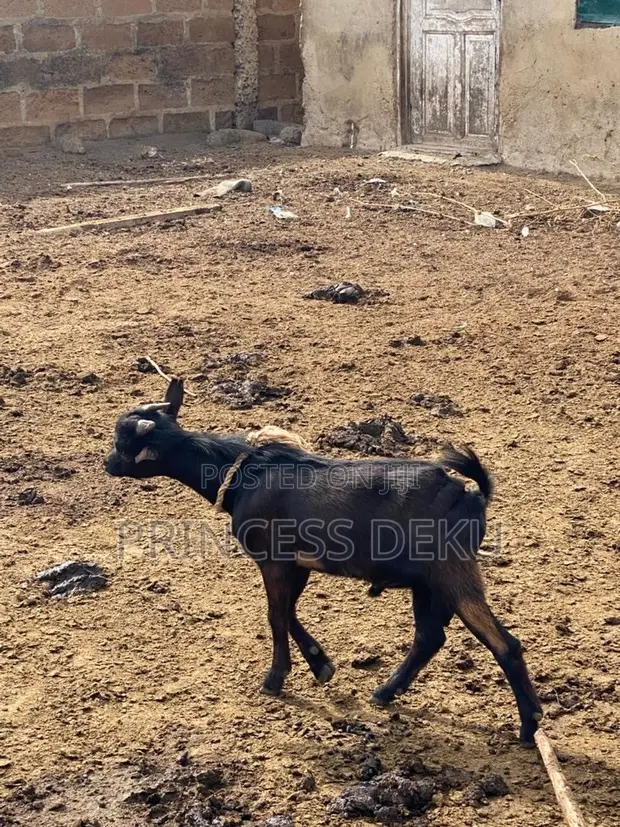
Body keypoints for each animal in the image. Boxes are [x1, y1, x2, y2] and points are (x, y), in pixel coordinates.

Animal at [105, 378, 543, 745]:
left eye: (122, 442)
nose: (107, 464)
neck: (242, 474)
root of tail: (472, 495)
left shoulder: (274, 560)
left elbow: (275, 616)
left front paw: (275, 679)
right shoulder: (296, 565)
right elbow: (288, 612)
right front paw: (321, 664)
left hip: (454, 574)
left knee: (503, 644)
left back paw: (529, 725)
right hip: (427, 583)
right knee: (429, 637)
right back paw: (386, 691)